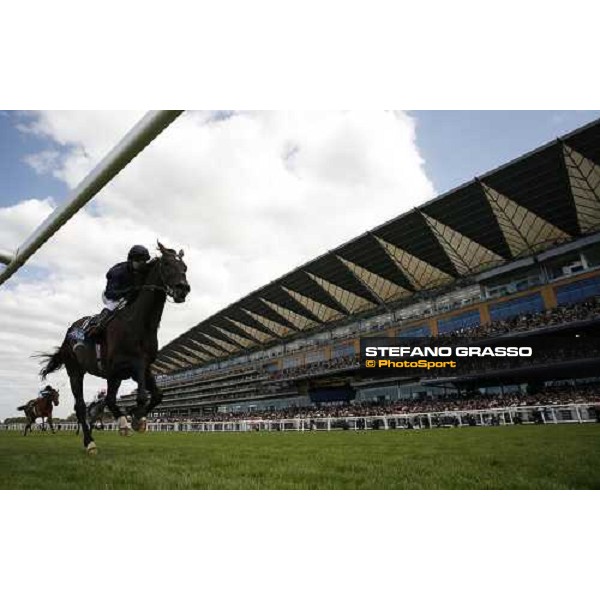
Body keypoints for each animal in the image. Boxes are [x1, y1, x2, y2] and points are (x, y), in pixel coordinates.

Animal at [37, 241, 190, 452]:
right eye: (167, 264)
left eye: (185, 267)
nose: (183, 288)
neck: (137, 323)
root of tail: (69, 334)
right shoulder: (125, 365)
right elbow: (140, 396)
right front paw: (134, 417)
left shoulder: (143, 366)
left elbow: (157, 395)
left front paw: (135, 418)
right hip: (75, 371)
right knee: (81, 406)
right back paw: (90, 442)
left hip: (112, 376)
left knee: (108, 399)